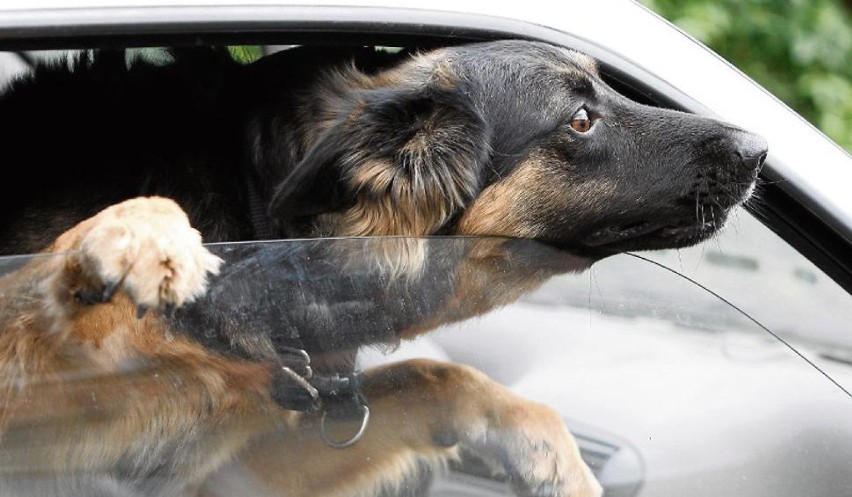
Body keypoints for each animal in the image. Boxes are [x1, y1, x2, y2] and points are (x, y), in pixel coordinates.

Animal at [0, 39, 764, 496]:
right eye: (580, 119)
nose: (758, 149)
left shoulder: (233, 463)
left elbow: (435, 373)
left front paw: (548, 449)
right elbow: (40, 283)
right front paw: (136, 234)